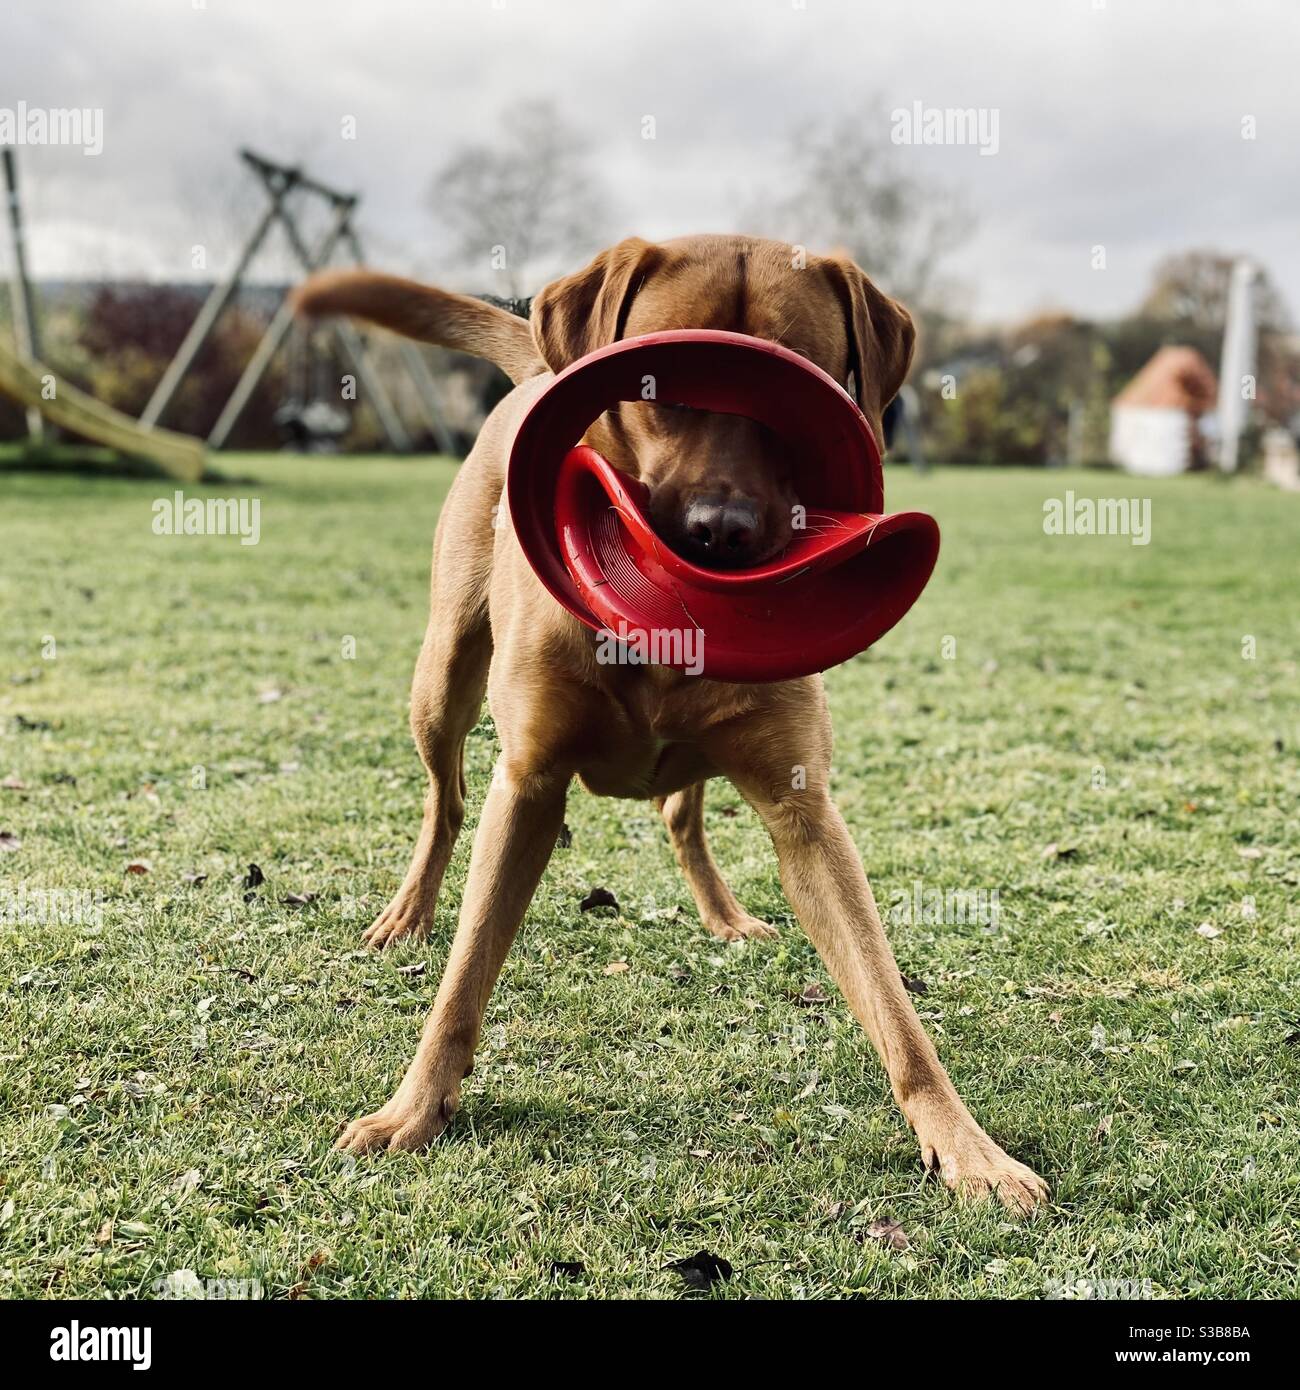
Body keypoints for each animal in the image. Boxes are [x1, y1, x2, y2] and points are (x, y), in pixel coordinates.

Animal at [291, 239, 1045, 1217]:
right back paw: (408, 914)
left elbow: (893, 1007)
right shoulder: (528, 786)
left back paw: (724, 916)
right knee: (445, 799)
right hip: (442, 675)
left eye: (797, 397)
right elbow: (462, 979)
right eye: (664, 391)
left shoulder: (810, 819)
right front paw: (412, 1111)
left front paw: (968, 1149)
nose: (718, 533)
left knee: (680, 812)